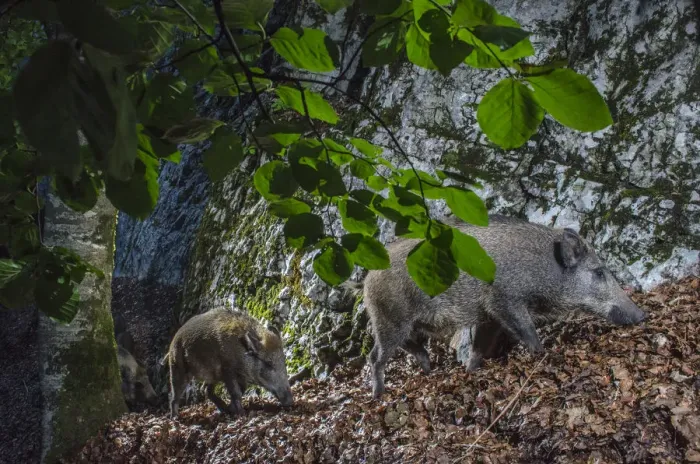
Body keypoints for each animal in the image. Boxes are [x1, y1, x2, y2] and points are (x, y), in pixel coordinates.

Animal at [353, 214, 646, 398]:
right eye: (599, 272)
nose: (641, 315)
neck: (544, 268)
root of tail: (366, 280)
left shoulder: (488, 317)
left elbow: (480, 348)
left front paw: (471, 372)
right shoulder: (504, 300)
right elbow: (528, 331)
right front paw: (541, 355)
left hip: (403, 321)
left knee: (410, 346)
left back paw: (430, 370)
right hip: (390, 316)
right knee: (376, 356)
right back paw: (379, 395)